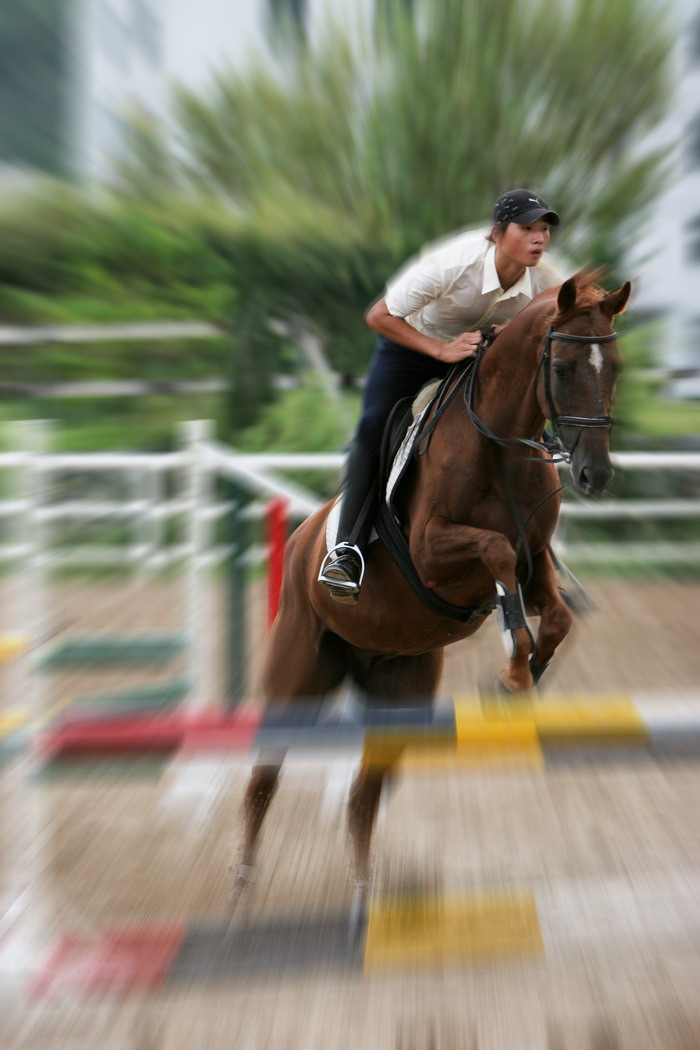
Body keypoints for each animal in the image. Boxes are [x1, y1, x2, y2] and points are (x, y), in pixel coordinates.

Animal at [232, 270, 633, 936]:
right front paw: (513, 663)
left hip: (402, 691)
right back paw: (240, 890)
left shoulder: (538, 556)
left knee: (362, 797)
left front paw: (520, 676)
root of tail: (300, 541)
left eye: (617, 367)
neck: (500, 447)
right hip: (297, 674)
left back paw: (364, 900)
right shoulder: (432, 552)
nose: (595, 476)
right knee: (263, 780)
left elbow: (554, 612)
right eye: (564, 367)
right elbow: (496, 553)